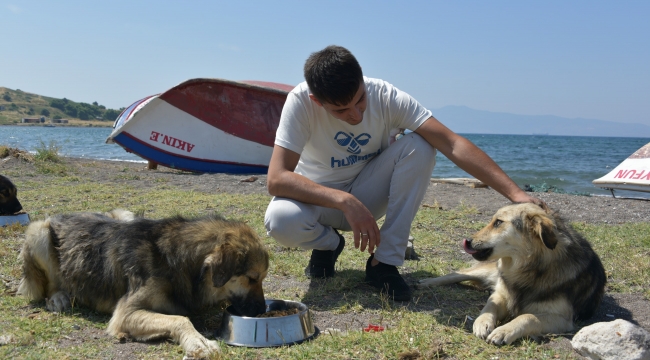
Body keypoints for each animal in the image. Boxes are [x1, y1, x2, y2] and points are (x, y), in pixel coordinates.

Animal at [418, 204, 604, 344]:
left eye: (498, 222)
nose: (468, 241)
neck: (530, 269)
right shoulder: (502, 293)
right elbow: (490, 304)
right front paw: (482, 322)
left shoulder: (563, 319)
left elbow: (528, 316)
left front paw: (504, 331)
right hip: (489, 271)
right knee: (460, 273)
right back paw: (427, 282)